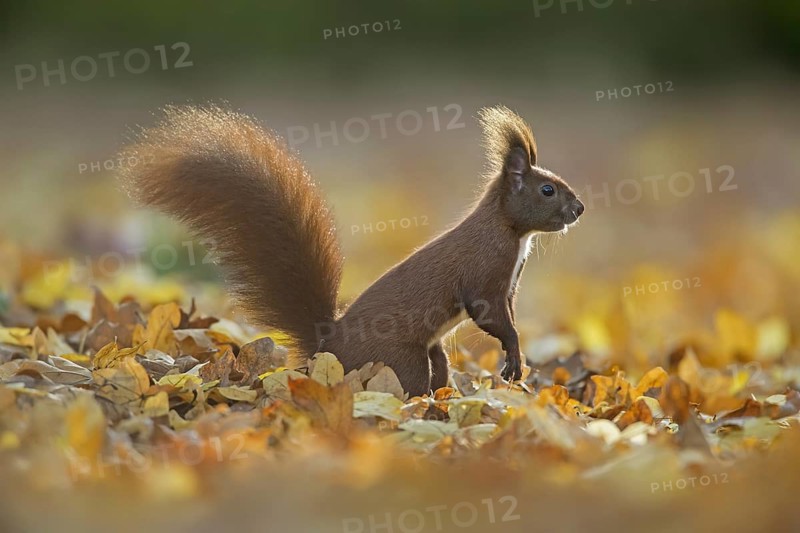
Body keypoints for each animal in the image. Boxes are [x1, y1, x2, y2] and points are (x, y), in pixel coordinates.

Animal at [118, 104, 584, 397]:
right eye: (547, 190)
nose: (579, 208)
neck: (511, 231)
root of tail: (329, 347)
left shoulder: (510, 284)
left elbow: (506, 315)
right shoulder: (485, 273)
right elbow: (490, 316)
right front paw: (513, 358)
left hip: (428, 351)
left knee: (437, 371)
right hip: (401, 358)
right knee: (409, 385)